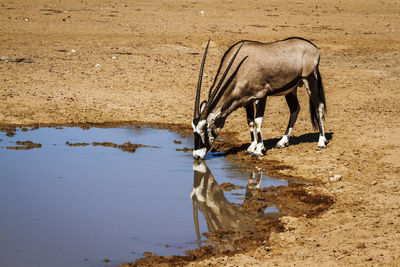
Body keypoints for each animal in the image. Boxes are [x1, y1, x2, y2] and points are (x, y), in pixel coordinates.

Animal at [192, 36, 326, 160]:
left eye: (205, 128)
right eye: (194, 129)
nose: (196, 155)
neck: (239, 68)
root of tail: (313, 47)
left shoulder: (261, 96)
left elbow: (258, 121)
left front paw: (259, 149)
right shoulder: (247, 101)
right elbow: (250, 121)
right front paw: (251, 147)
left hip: (310, 80)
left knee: (318, 106)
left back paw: (321, 141)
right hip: (291, 90)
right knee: (295, 109)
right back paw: (282, 142)